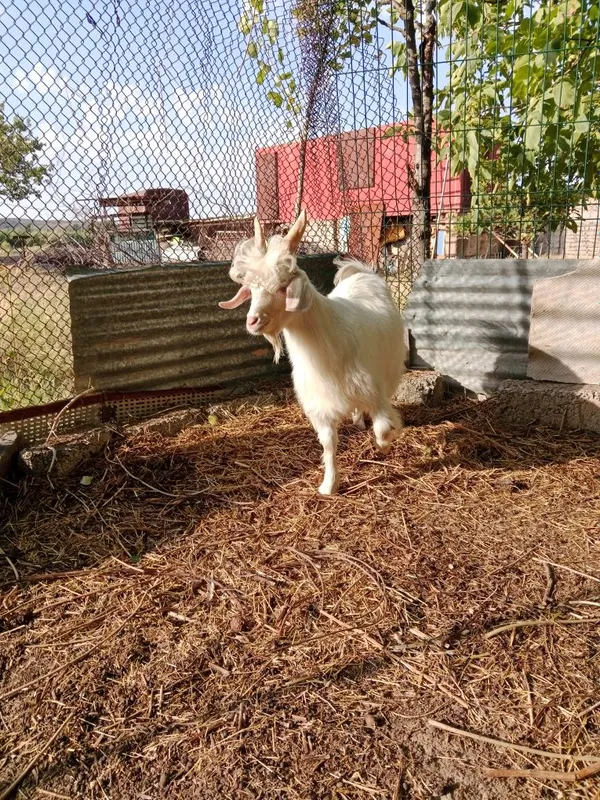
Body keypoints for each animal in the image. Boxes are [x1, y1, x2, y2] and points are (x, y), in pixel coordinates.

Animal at [218, 210, 406, 495]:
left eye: (283, 286)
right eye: (251, 289)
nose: (252, 321)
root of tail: (361, 273)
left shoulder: (374, 390)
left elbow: (383, 428)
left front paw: (385, 443)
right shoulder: (320, 403)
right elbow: (328, 444)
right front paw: (329, 485)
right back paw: (357, 420)